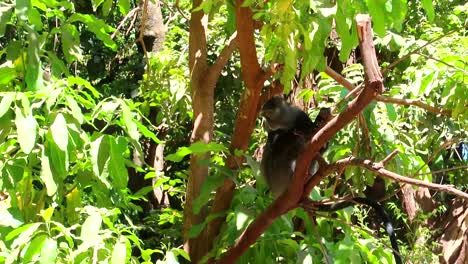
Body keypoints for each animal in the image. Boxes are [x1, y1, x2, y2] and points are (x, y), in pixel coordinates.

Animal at [260, 96, 402, 264]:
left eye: (269, 114)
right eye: (264, 115)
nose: (266, 122)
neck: (287, 122)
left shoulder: (299, 117)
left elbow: (315, 139)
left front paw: (320, 120)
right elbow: (277, 139)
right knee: (282, 144)